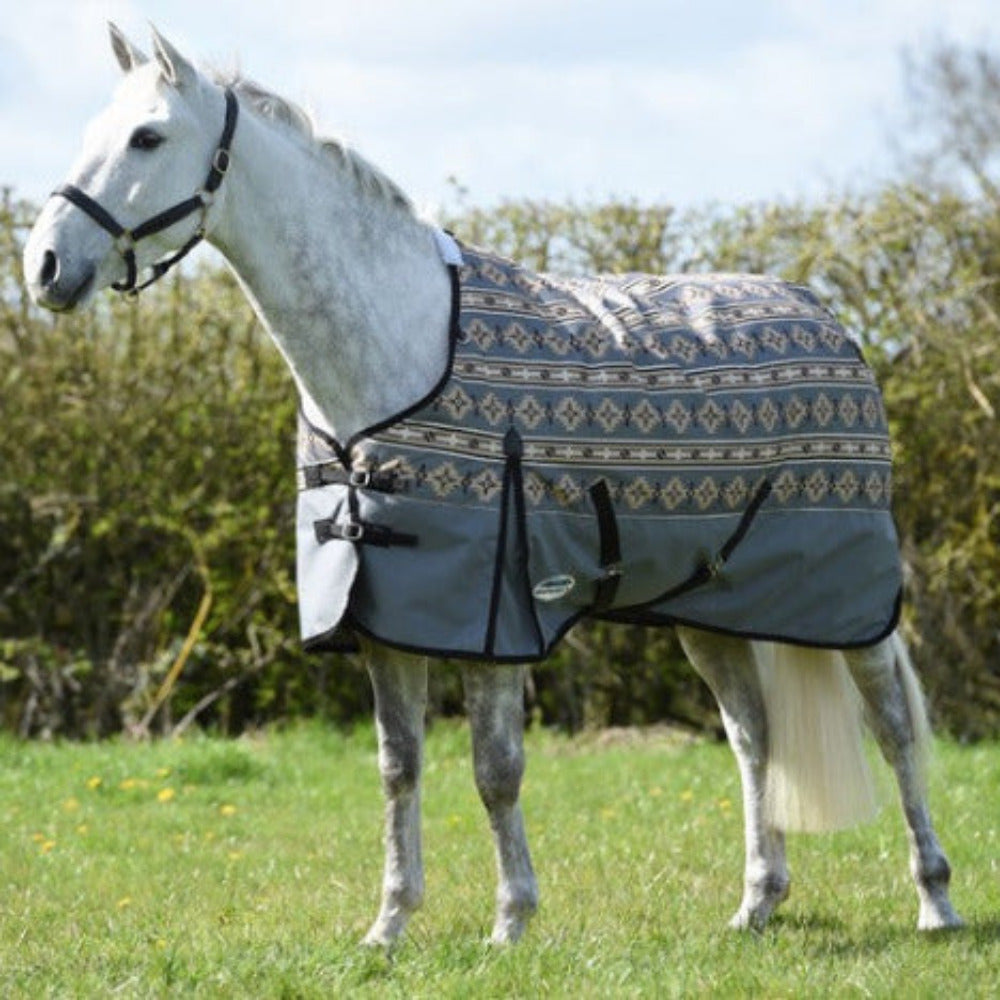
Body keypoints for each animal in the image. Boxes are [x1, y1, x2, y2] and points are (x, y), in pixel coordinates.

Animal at [23, 25, 963, 946]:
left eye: (148, 137)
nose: (44, 266)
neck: (399, 349)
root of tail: (829, 317)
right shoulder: (386, 616)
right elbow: (398, 768)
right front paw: (390, 923)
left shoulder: (497, 618)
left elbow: (495, 770)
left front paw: (511, 919)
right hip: (713, 607)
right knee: (752, 738)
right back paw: (757, 904)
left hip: (850, 605)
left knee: (894, 728)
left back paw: (934, 901)